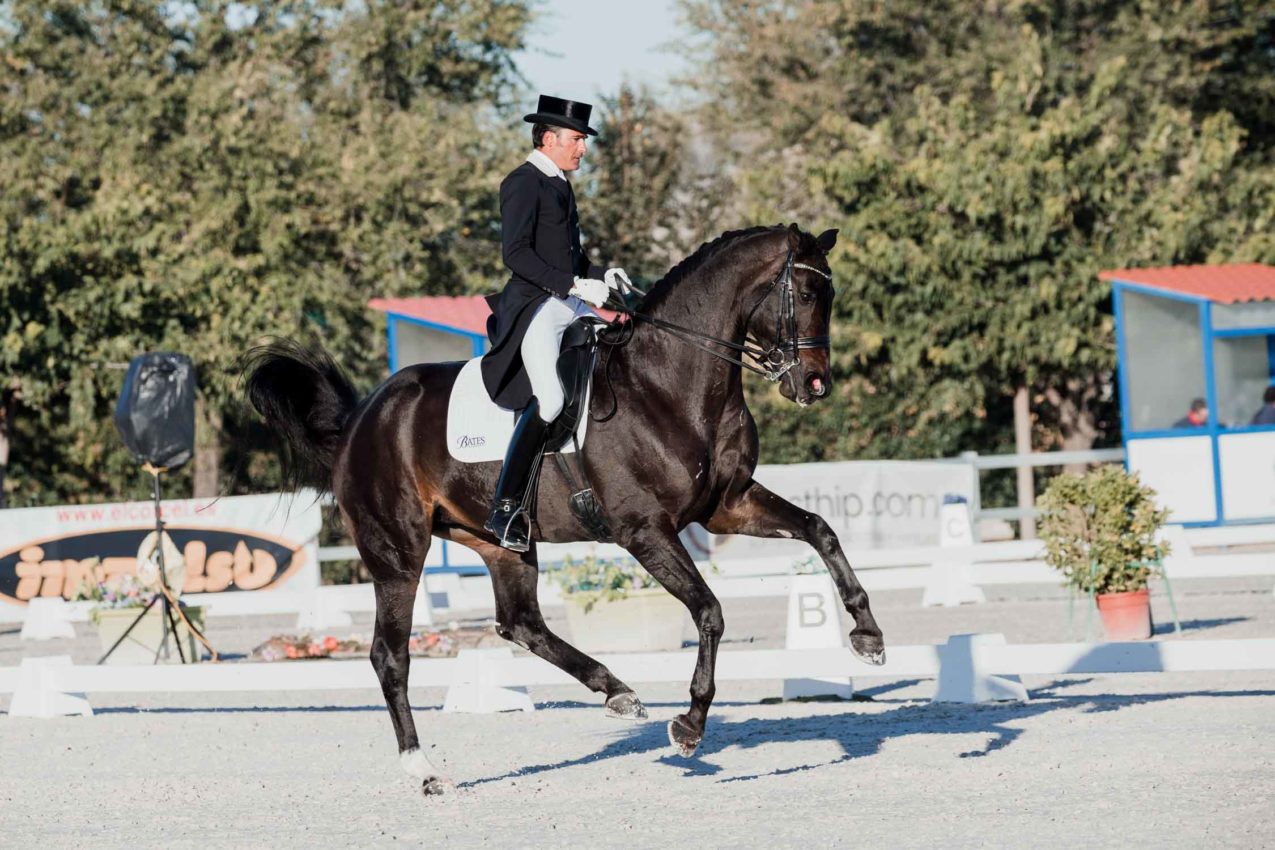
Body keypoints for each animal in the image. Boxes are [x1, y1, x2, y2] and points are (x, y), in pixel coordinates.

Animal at [246, 223, 887, 795]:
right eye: (806, 294)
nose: (814, 384)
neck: (670, 382)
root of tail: (361, 418)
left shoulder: (727, 506)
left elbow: (819, 529)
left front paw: (868, 635)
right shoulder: (644, 530)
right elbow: (709, 611)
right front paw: (689, 725)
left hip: (500, 543)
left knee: (521, 623)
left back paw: (618, 691)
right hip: (398, 552)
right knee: (391, 656)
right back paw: (424, 771)